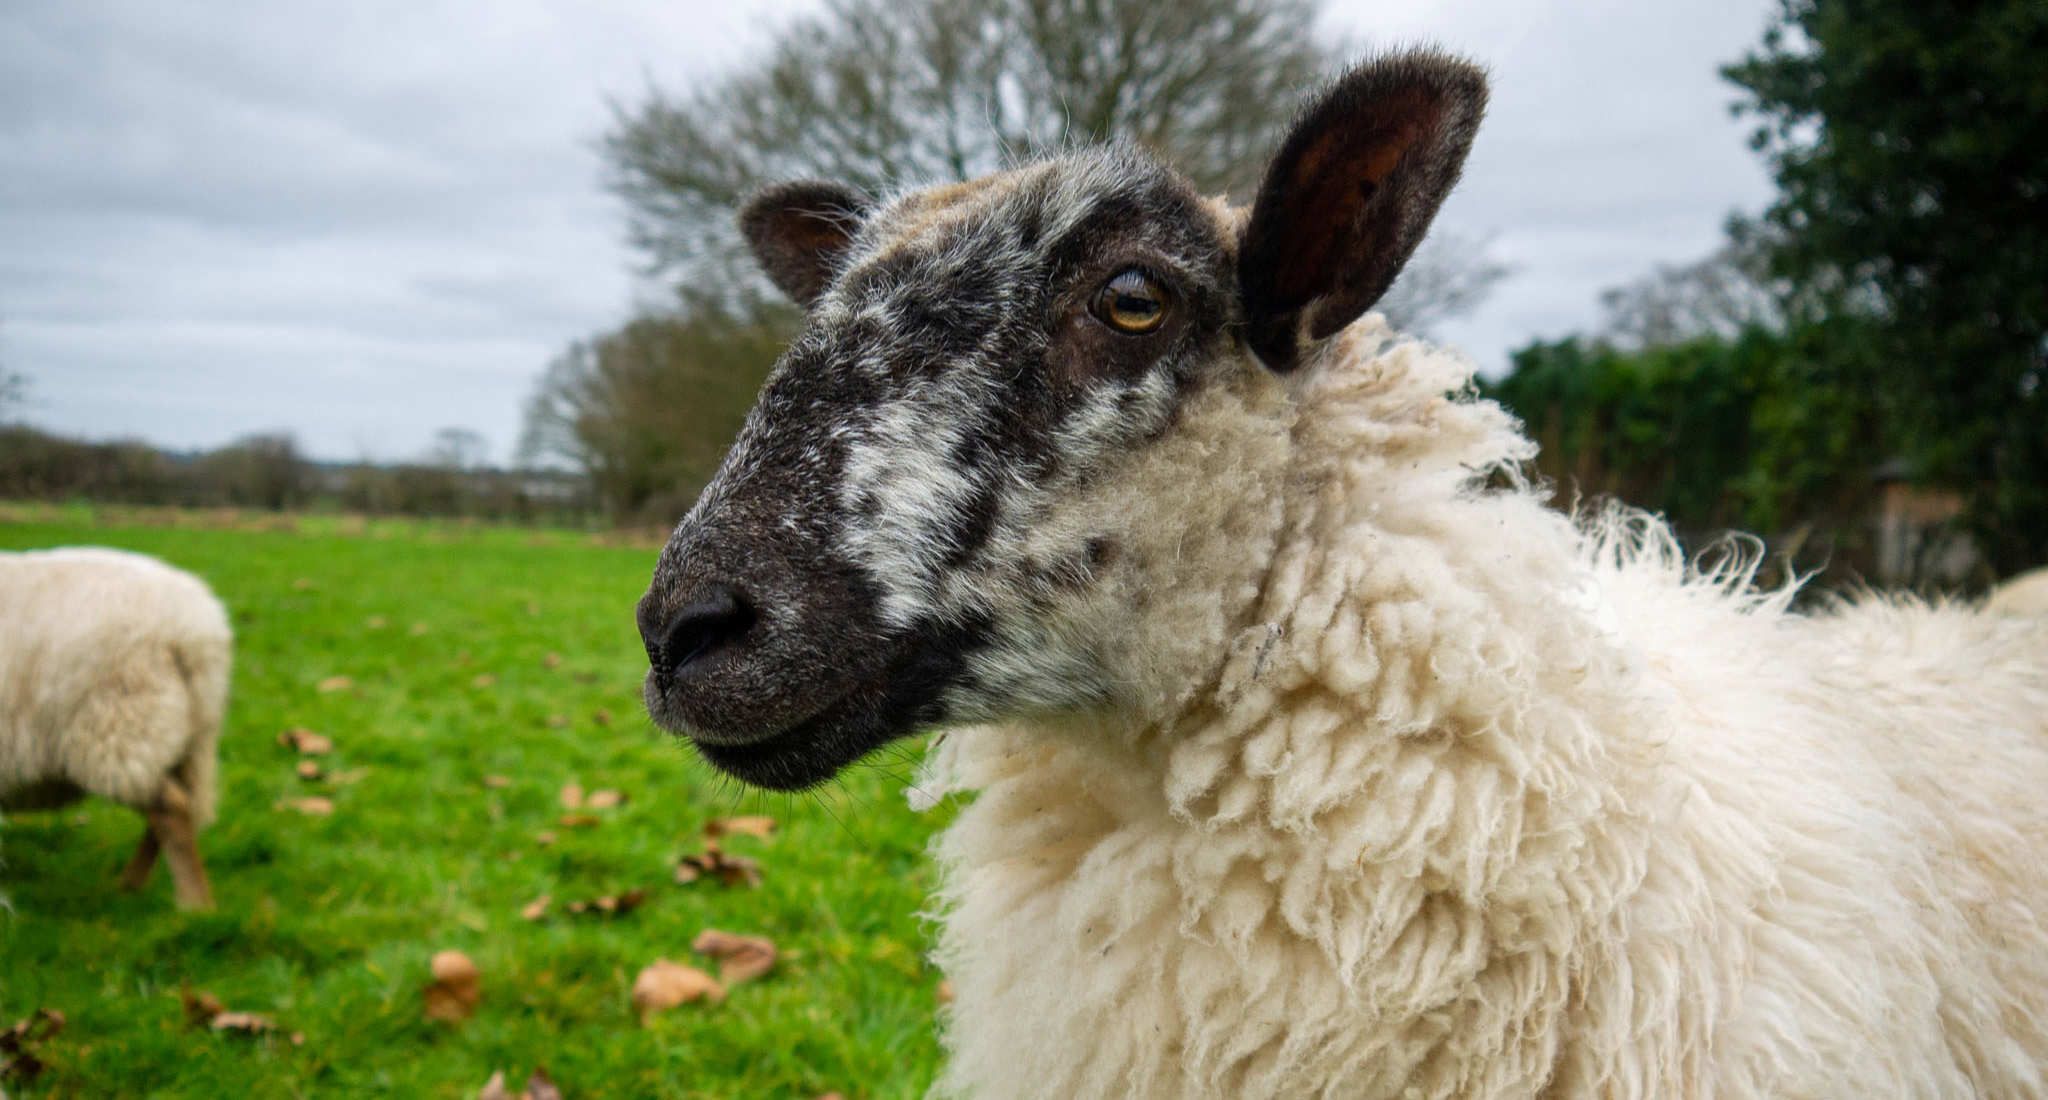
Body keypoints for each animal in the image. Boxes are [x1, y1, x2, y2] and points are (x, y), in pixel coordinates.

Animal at [0, 540, 232, 909]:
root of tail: (195, 630)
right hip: (186, 735)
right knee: (175, 807)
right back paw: (131, 887)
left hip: (122, 726)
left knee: (171, 809)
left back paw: (193, 904)